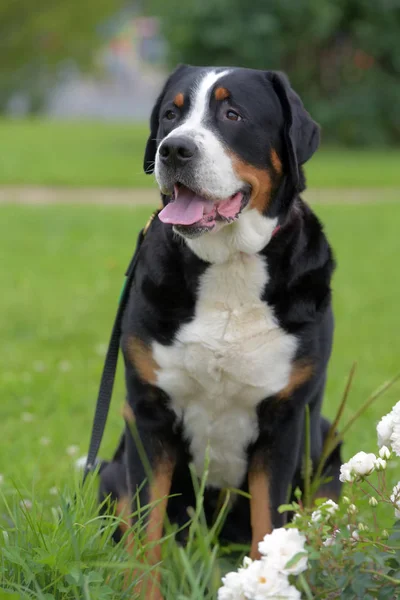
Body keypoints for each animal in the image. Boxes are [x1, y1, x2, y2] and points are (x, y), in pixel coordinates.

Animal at [98, 63, 342, 596]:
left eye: (233, 115)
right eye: (172, 114)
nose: (174, 149)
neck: (229, 266)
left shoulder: (284, 422)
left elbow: (270, 531)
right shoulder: (148, 416)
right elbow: (145, 533)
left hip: (325, 446)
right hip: (110, 467)